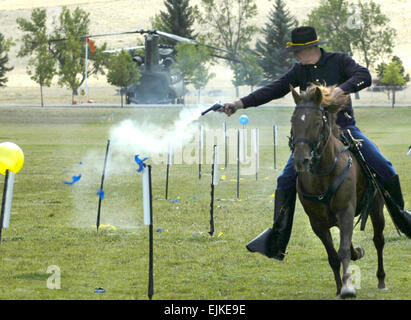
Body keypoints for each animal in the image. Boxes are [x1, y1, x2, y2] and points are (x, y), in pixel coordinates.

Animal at [288, 84, 388, 298]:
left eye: (317, 122)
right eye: (293, 120)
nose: (300, 160)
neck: (323, 175)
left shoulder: (346, 212)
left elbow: (343, 251)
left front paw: (348, 286)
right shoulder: (317, 223)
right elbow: (333, 255)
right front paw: (339, 288)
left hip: (376, 208)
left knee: (379, 240)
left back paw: (381, 279)